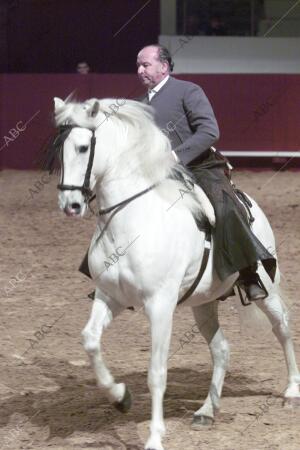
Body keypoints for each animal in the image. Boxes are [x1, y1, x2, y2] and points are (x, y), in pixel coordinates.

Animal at [51, 97, 300, 450]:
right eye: (59, 150)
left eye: (84, 147)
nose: (70, 204)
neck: (131, 221)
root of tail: (248, 202)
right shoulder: (109, 297)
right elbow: (90, 341)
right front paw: (120, 398)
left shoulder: (159, 306)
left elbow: (157, 372)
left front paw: (155, 437)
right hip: (203, 303)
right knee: (221, 349)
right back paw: (207, 411)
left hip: (267, 288)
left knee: (282, 327)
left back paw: (291, 391)